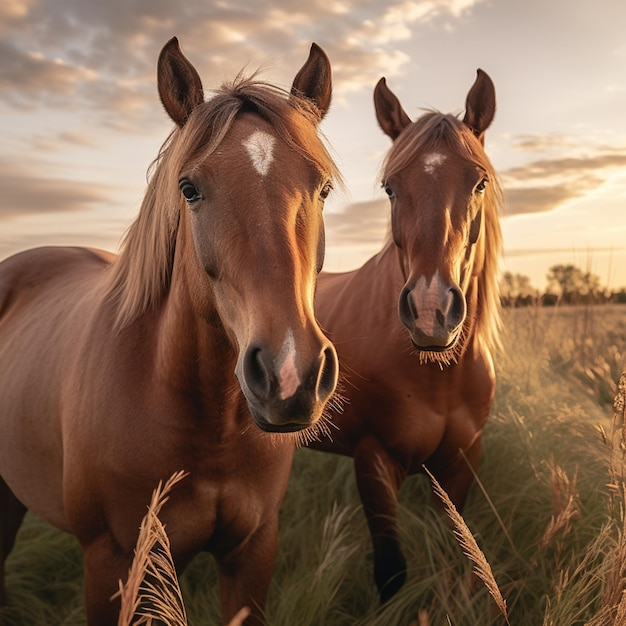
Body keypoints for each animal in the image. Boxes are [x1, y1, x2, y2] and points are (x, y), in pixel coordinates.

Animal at [308, 70, 502, 604]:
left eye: (479, 181)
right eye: (390, 188)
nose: (431, 312)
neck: (437, 375)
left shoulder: (461, 464)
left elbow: (460, 552)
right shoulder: (374, 461)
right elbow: (392, 572)